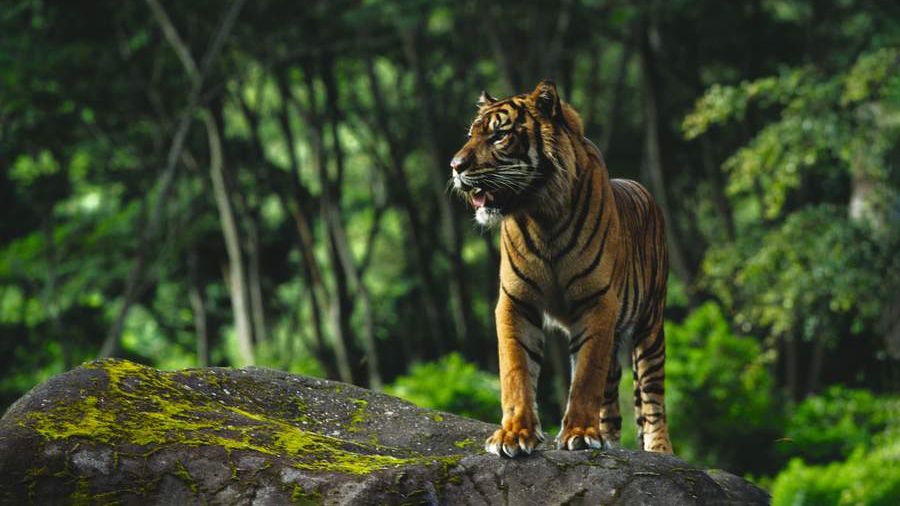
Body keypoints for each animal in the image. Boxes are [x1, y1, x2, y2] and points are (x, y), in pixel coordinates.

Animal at [448, 81, 668, 456]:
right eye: (470, 134)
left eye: (499, 135)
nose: (454, 166)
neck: (543, 215)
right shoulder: (515, 301)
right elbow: (516, 369)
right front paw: (514, 434)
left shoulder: (597, 302)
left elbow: (585, 377)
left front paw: (579, 432)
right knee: (612, 401)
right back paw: (608, 440)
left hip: (650, 326)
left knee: (652, 399)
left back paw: (660, 451)